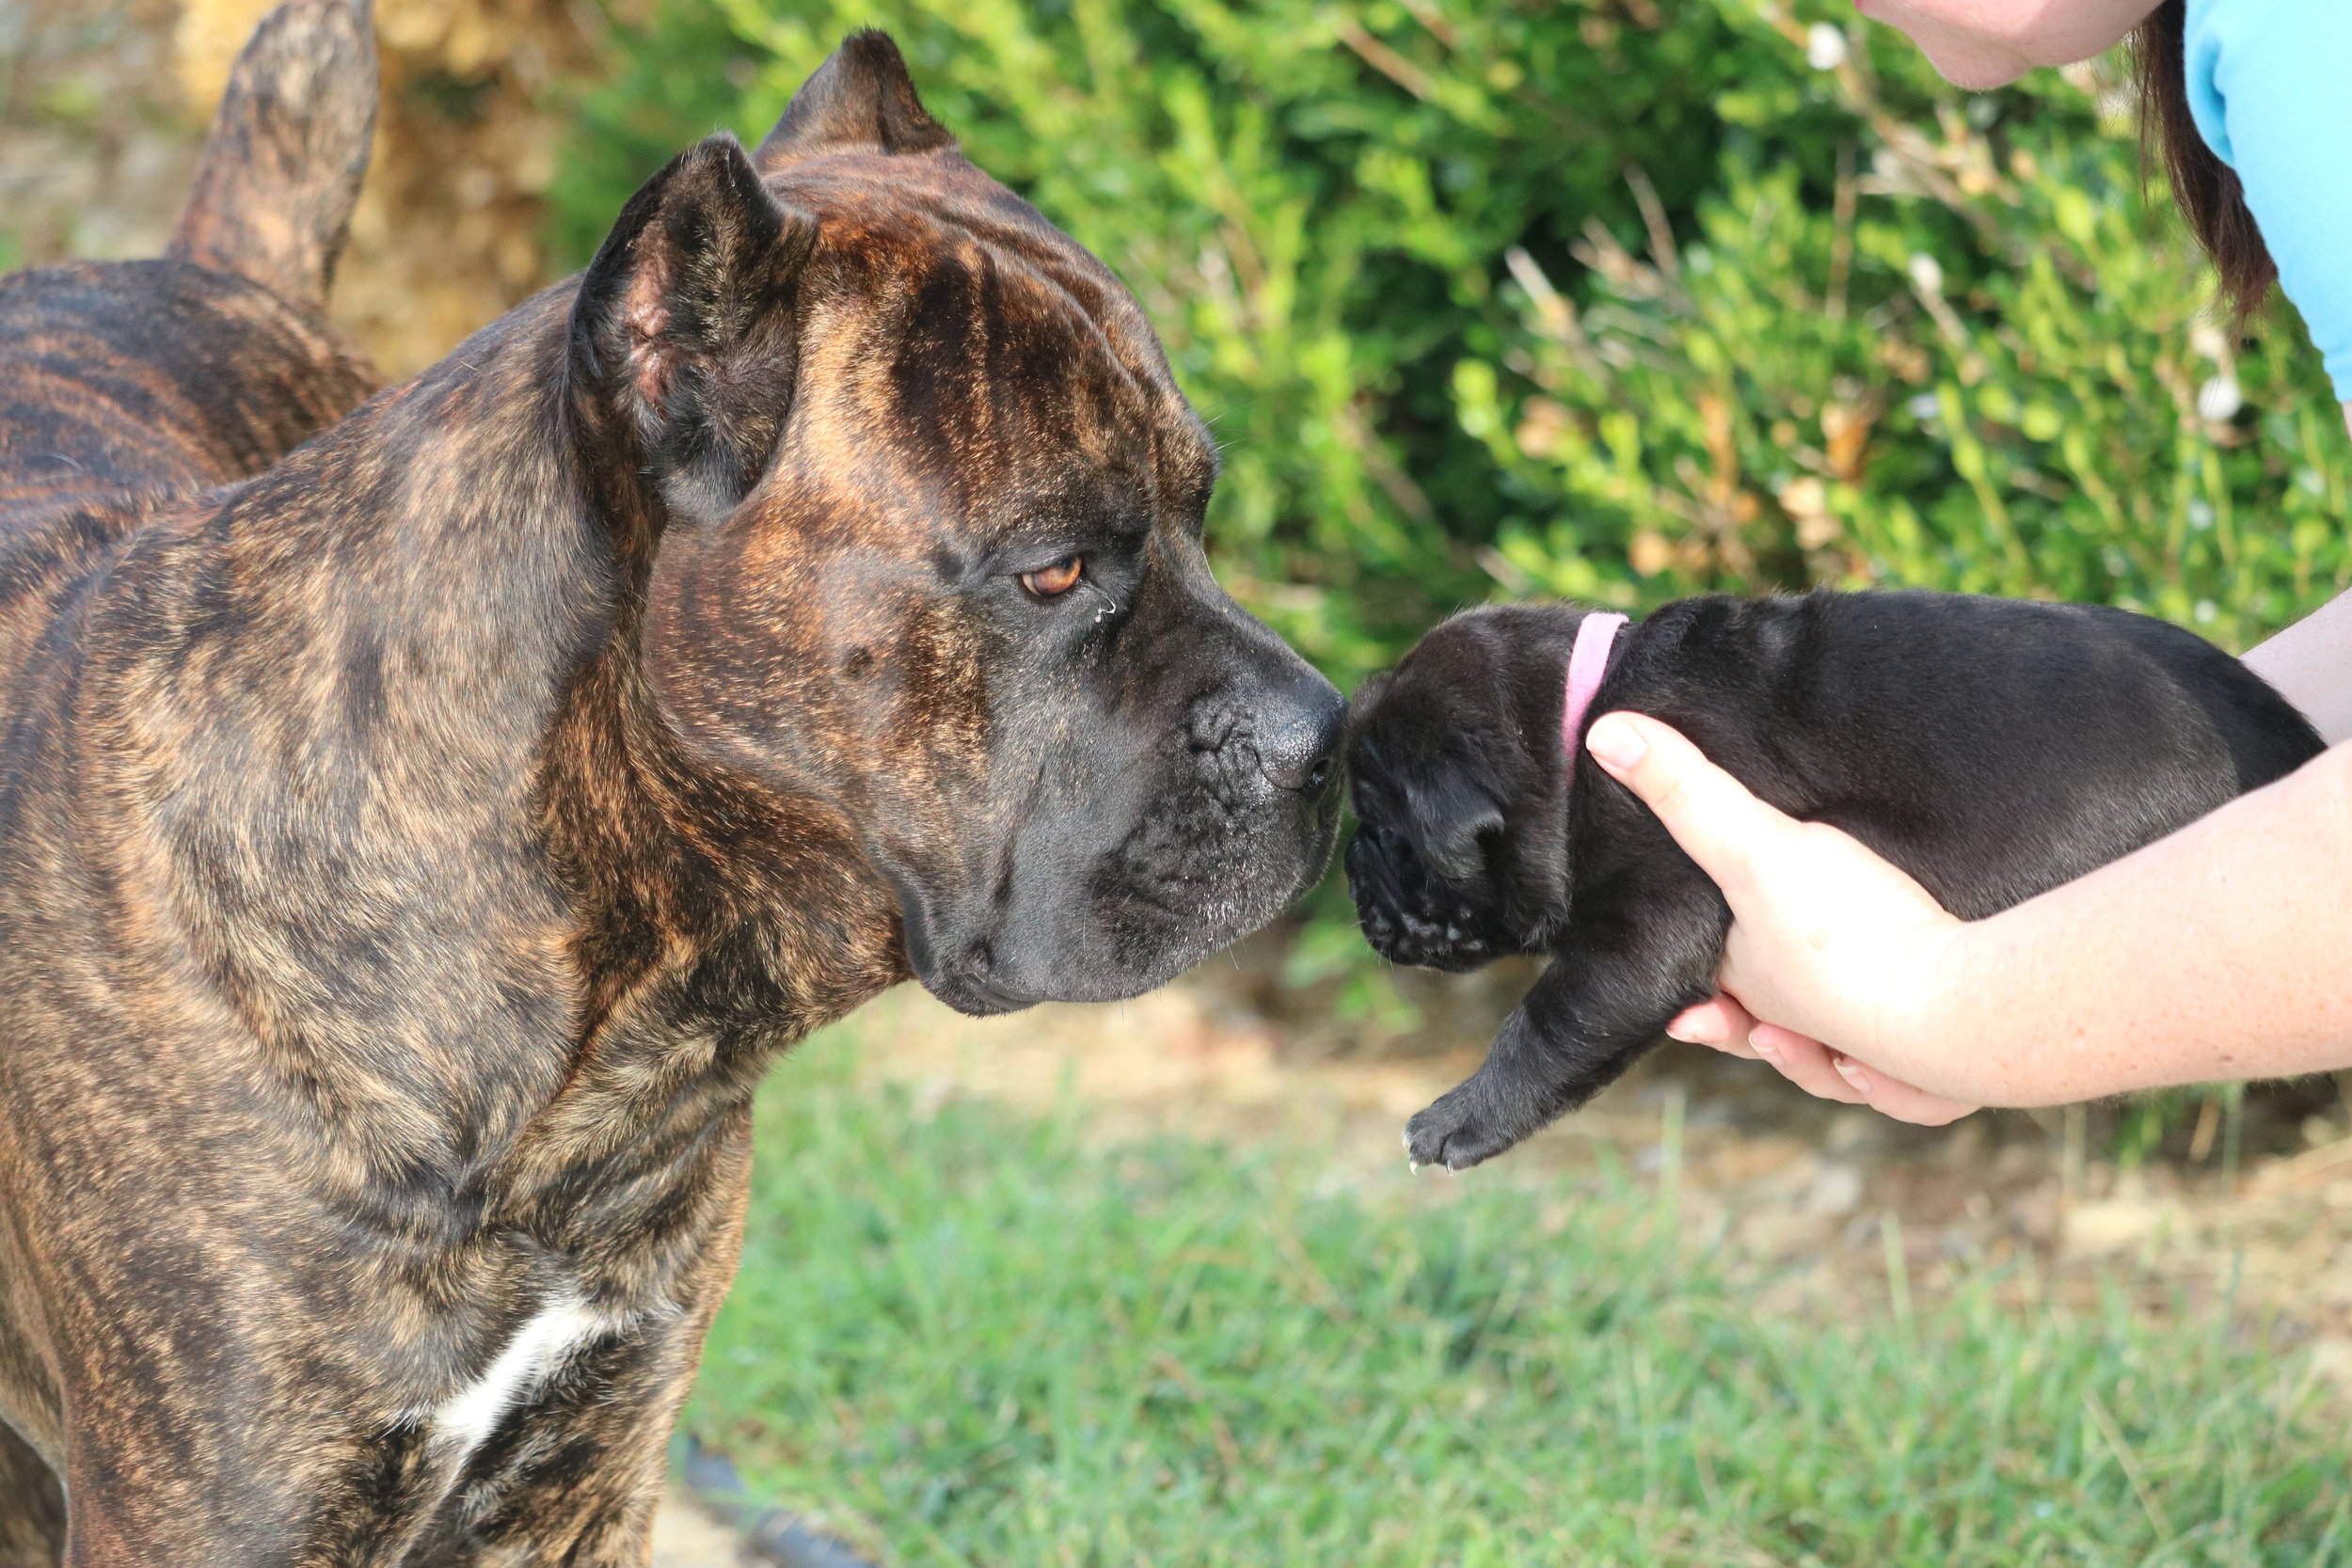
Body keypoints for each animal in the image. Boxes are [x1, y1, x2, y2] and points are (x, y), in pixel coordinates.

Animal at [1355, 594, 2324, 1170]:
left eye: (1379, 829)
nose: (1358, 897)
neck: (1571, 722)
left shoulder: (1652, 910)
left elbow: (1549, 1022)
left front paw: (1455, 1119)